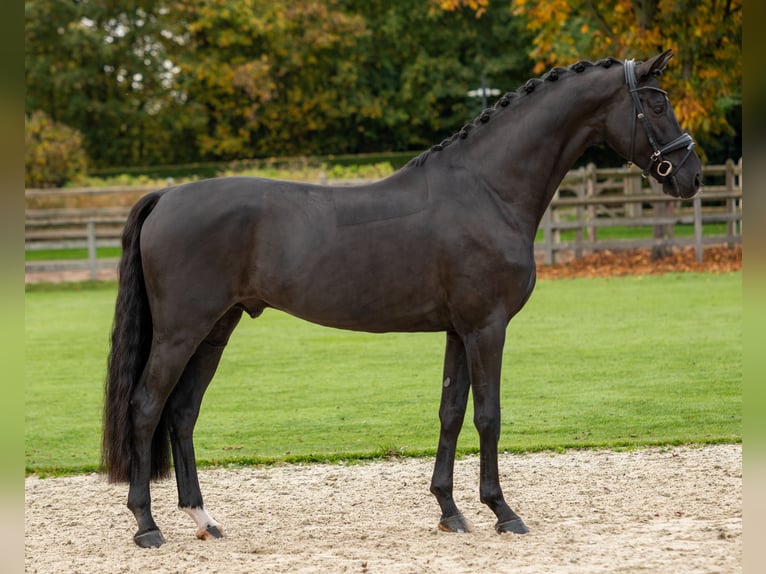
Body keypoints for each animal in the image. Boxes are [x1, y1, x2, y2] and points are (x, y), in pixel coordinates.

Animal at [100, 50, 704, 548]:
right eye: (656, 102)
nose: (692, 175)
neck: (486, 189)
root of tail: (167, 195)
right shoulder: (487, 327)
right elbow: (488, 415)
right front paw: (502, 511)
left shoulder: (460, 330)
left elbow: (450, 412)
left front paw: (450, 511)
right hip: (181, 330)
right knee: (147, 406)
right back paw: (147, 525)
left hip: (217, 327)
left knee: (182, 410)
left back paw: (203, 519)